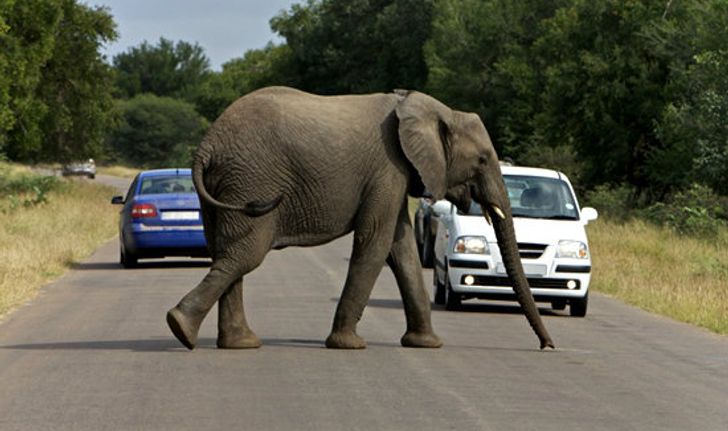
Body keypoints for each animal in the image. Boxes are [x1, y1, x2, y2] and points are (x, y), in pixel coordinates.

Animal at [164, 85, 552, 352]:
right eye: (483, 160)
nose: (547, 346)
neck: (432, 108)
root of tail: (207, 146)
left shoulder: (396, 174)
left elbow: (402, 249)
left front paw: (427, 344)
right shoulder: (388, 168)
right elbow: (376, 242)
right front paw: (348, 345)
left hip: (226, 186)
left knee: (226, 253)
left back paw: (232, 341)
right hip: (250, 181)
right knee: (245, 254)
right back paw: (180, 328)